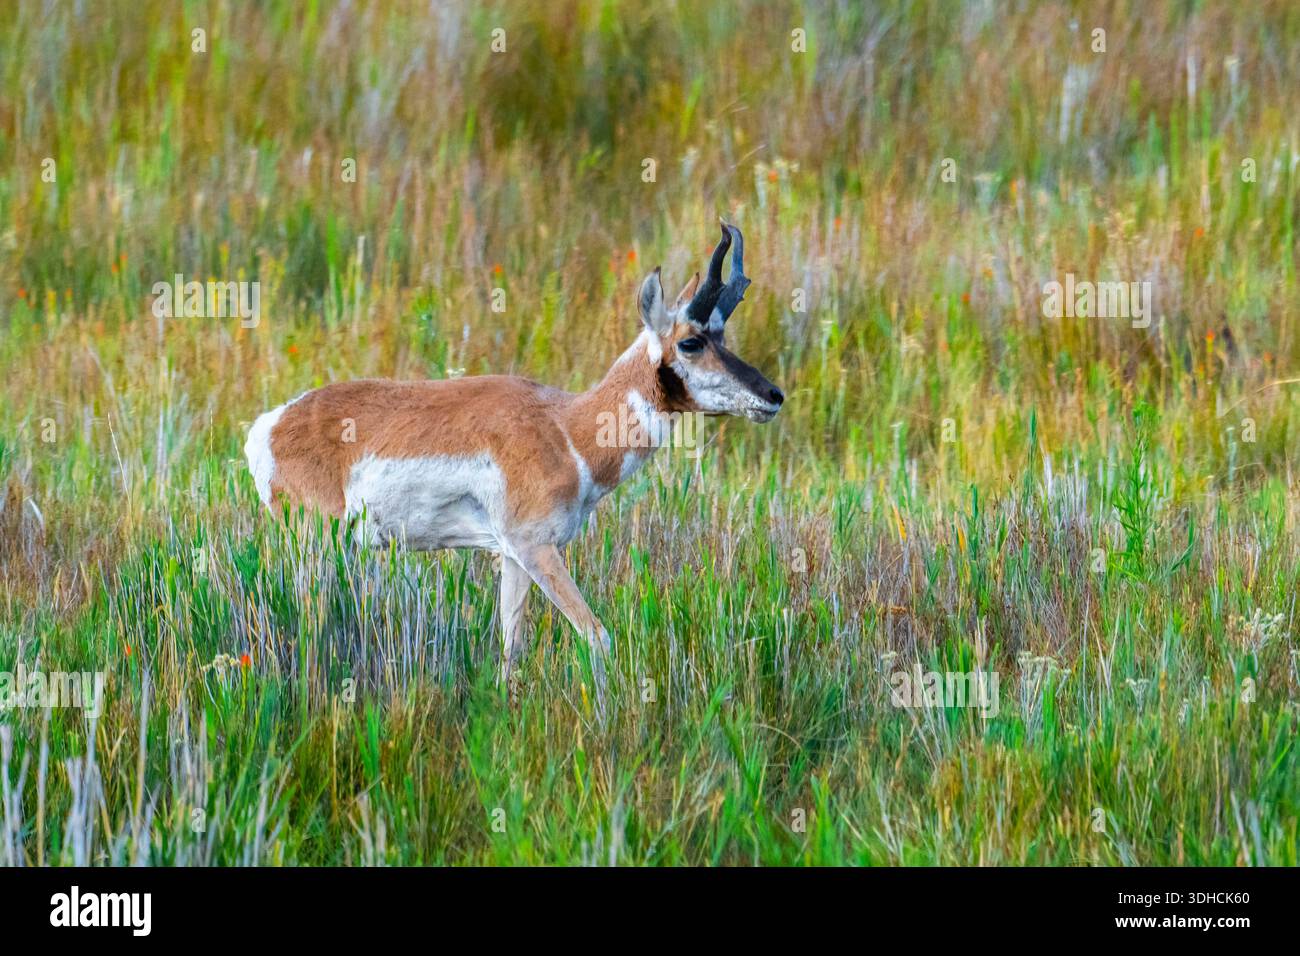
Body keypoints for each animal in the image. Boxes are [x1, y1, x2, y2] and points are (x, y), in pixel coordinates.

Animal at [244, 221, 783, 687]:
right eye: (690, 342)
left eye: (723, 335)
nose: (774, 395)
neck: (568, 428)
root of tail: (271, 423)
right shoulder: (536, 548)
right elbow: (597, 636)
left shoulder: (512, 556)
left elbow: (510, 645)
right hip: (316, 542)